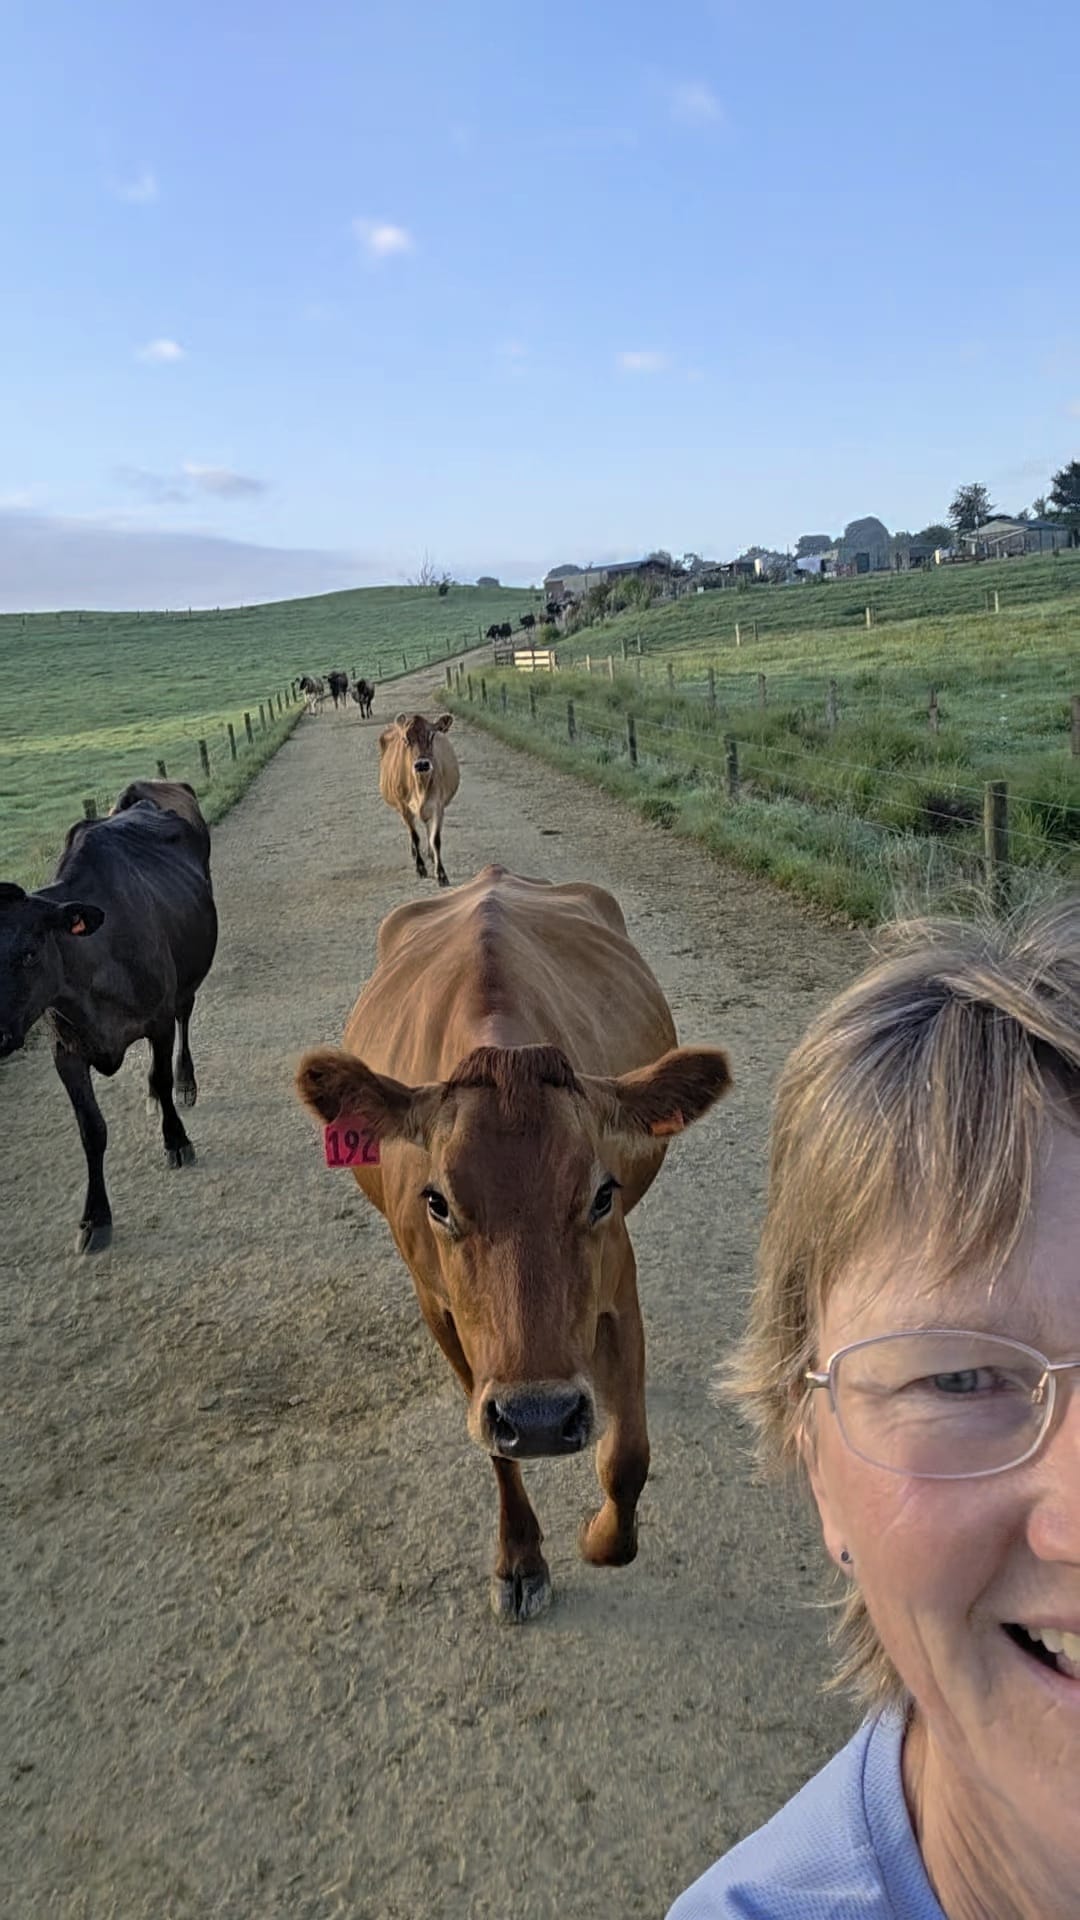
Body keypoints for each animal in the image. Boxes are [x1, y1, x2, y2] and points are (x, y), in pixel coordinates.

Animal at [0, 789, 218, 1253]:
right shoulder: (65, 1050)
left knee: (184, 1019)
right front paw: (95, 1217)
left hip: (185, 983)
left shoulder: (157, 1022)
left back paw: (186, 1082)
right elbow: (91, 1129)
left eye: (29, 952)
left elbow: (160, 1077)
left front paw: (177, 1140)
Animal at [295, 865, 731, 1621]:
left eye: (602, 1193)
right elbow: (495, 1448)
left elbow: (628, 1455)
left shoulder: (617, 1277)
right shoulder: (441, 1310)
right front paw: (520, 1559)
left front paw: (599, 1538)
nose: (541, 1417)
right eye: (436, 1201)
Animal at [377, 711, 459, 888]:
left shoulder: (438, 806)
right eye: (405, 740)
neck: (421, 787)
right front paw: (420, 868)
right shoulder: (404, 808)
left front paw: (441, 873)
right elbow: (415, 836)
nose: (422, 764)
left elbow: (436, 839)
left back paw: (430, 854)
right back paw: (416, 854)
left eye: (431, 735)